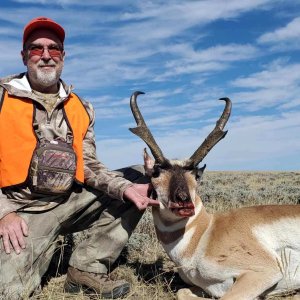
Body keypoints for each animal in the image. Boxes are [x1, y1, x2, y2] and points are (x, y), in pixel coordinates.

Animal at [128, 91, 300, 300]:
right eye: (155, 173)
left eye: (195, 175)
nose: (184, 202)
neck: (204, 233)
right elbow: (182, 292)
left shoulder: (265, 271)